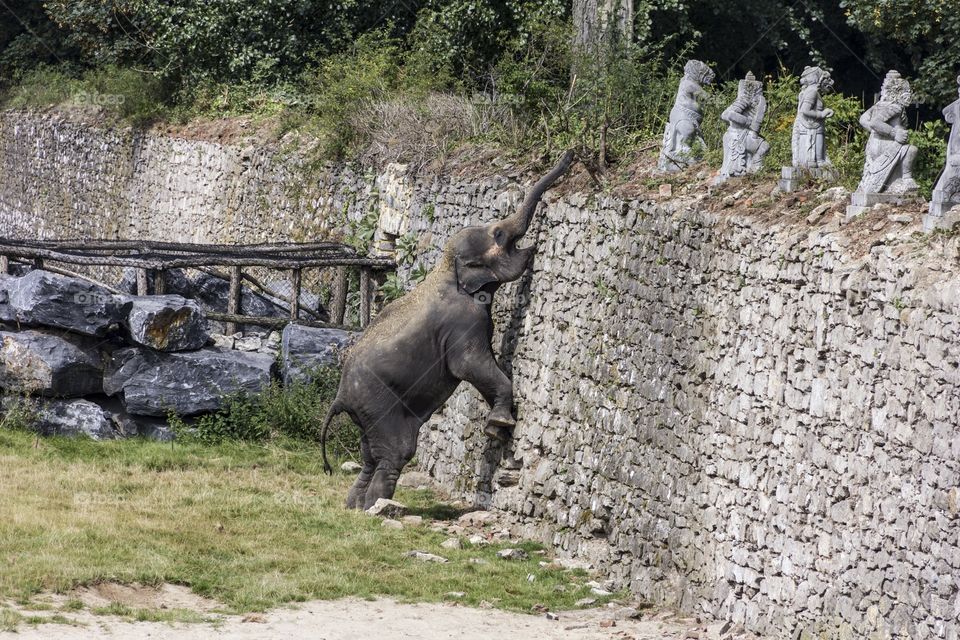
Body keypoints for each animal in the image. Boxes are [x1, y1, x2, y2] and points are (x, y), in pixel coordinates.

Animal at [322, 151, 576, 510]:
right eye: (499, 235)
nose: (571, 155)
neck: (446, 266)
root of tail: (340, 395)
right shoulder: (463, 321)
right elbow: (470, 365)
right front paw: (499, 426)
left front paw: (497, 426)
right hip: (378, 402)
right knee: (396, 452)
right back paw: (380, 507)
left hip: (366, 412)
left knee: (370, 455)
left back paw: (356, 507)